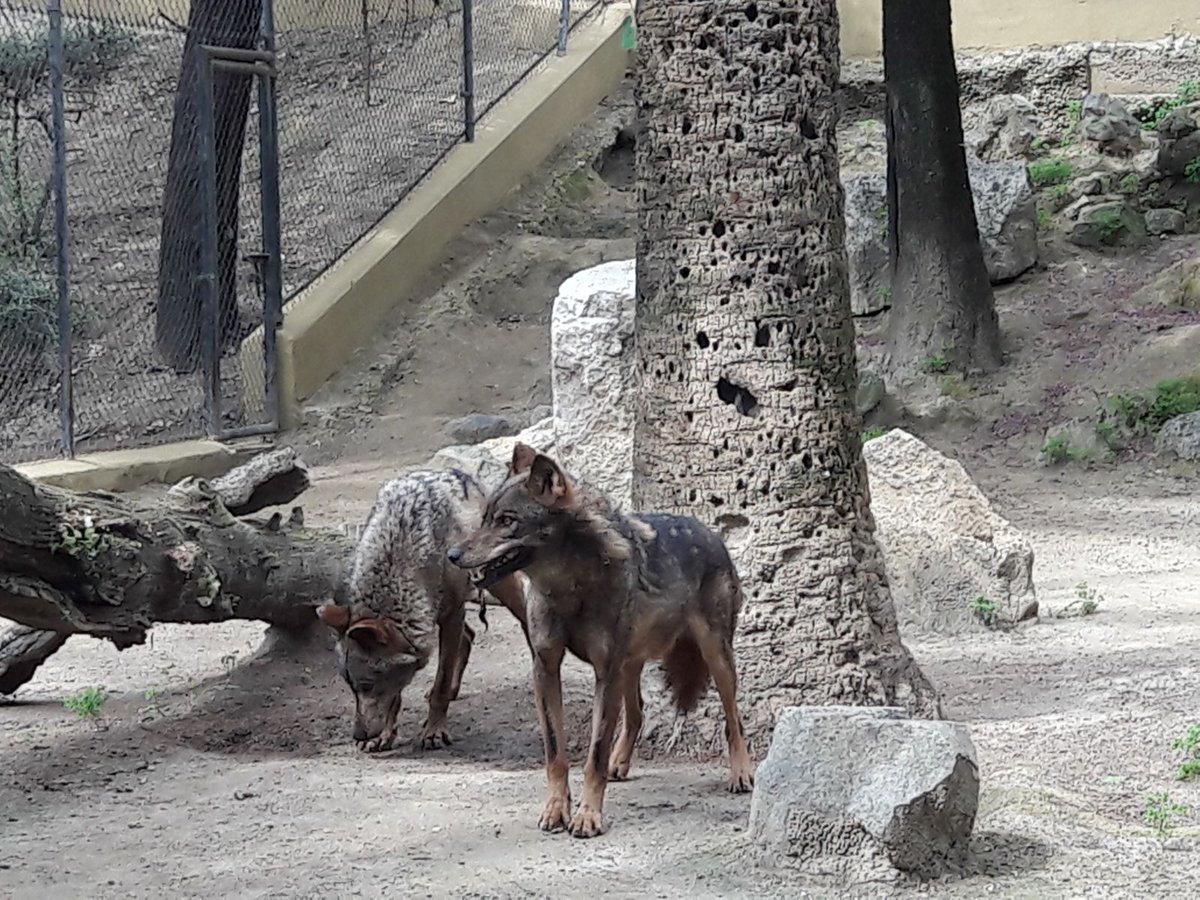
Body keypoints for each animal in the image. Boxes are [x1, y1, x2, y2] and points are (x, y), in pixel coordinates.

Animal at [317, 468, 528, 752]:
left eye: (367, 685)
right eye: (350, 686)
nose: (358, 735)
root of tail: (460, 473)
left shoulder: (451, 615)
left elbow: (440, 684)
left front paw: (434, 731)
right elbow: (397, 697)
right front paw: (385, 735)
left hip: (496, 584)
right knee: (469, 636)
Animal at [447, 444, 754, 838]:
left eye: (506, 521)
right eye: (486, 518)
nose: (453, 555)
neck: (570, 587)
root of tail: (710, 531)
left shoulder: (604, 673)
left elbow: (593, 755)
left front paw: (587, 816)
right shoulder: (546, 668)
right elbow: (556, 754)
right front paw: (556, 810)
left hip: (715, 658)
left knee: (734, 720)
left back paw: (742, 772)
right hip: (629, 666)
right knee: (637, 713)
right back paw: (619, 763)